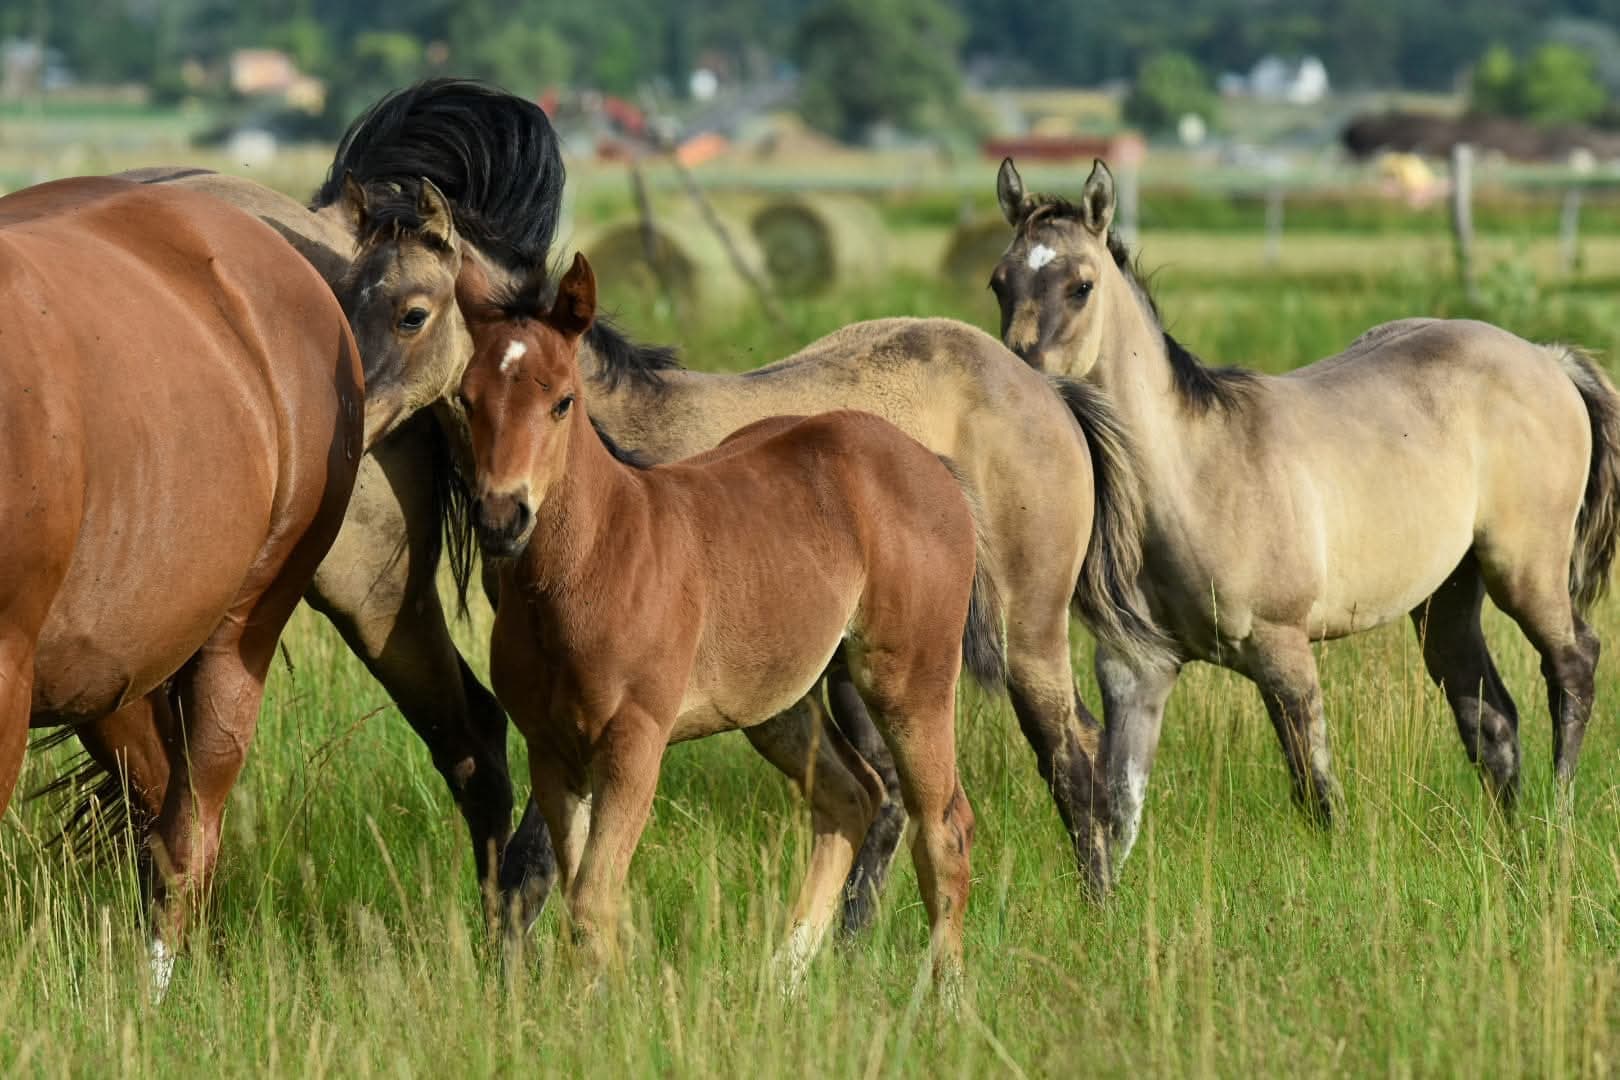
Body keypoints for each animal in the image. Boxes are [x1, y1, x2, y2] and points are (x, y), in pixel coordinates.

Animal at [460, 251, 987, 991]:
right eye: (466, 399)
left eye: (562, 400)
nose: (502, 517)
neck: (591, 564)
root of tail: (927, 462)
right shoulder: (550, 747)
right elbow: (579, 887)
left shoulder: (635, 740)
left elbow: (593, 895)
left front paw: (608, 1005)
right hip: (778, 700)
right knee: (851, 796)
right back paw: (781, 980)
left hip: (909, 679)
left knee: (944, 825)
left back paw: (943, 995)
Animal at [988, 156, 1620, 878]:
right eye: (1000, 281)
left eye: (1081, 286)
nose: (1024, 385)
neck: (1191, 476)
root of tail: (1547, 358)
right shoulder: (1135, 666)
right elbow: (1119, 803)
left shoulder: (1282, 649)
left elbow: (1315, 790)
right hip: (1446, 595)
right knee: (1489, 717)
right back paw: (1507, 851)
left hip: (1524, 567)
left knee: (1573, 663)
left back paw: (1559, 822)